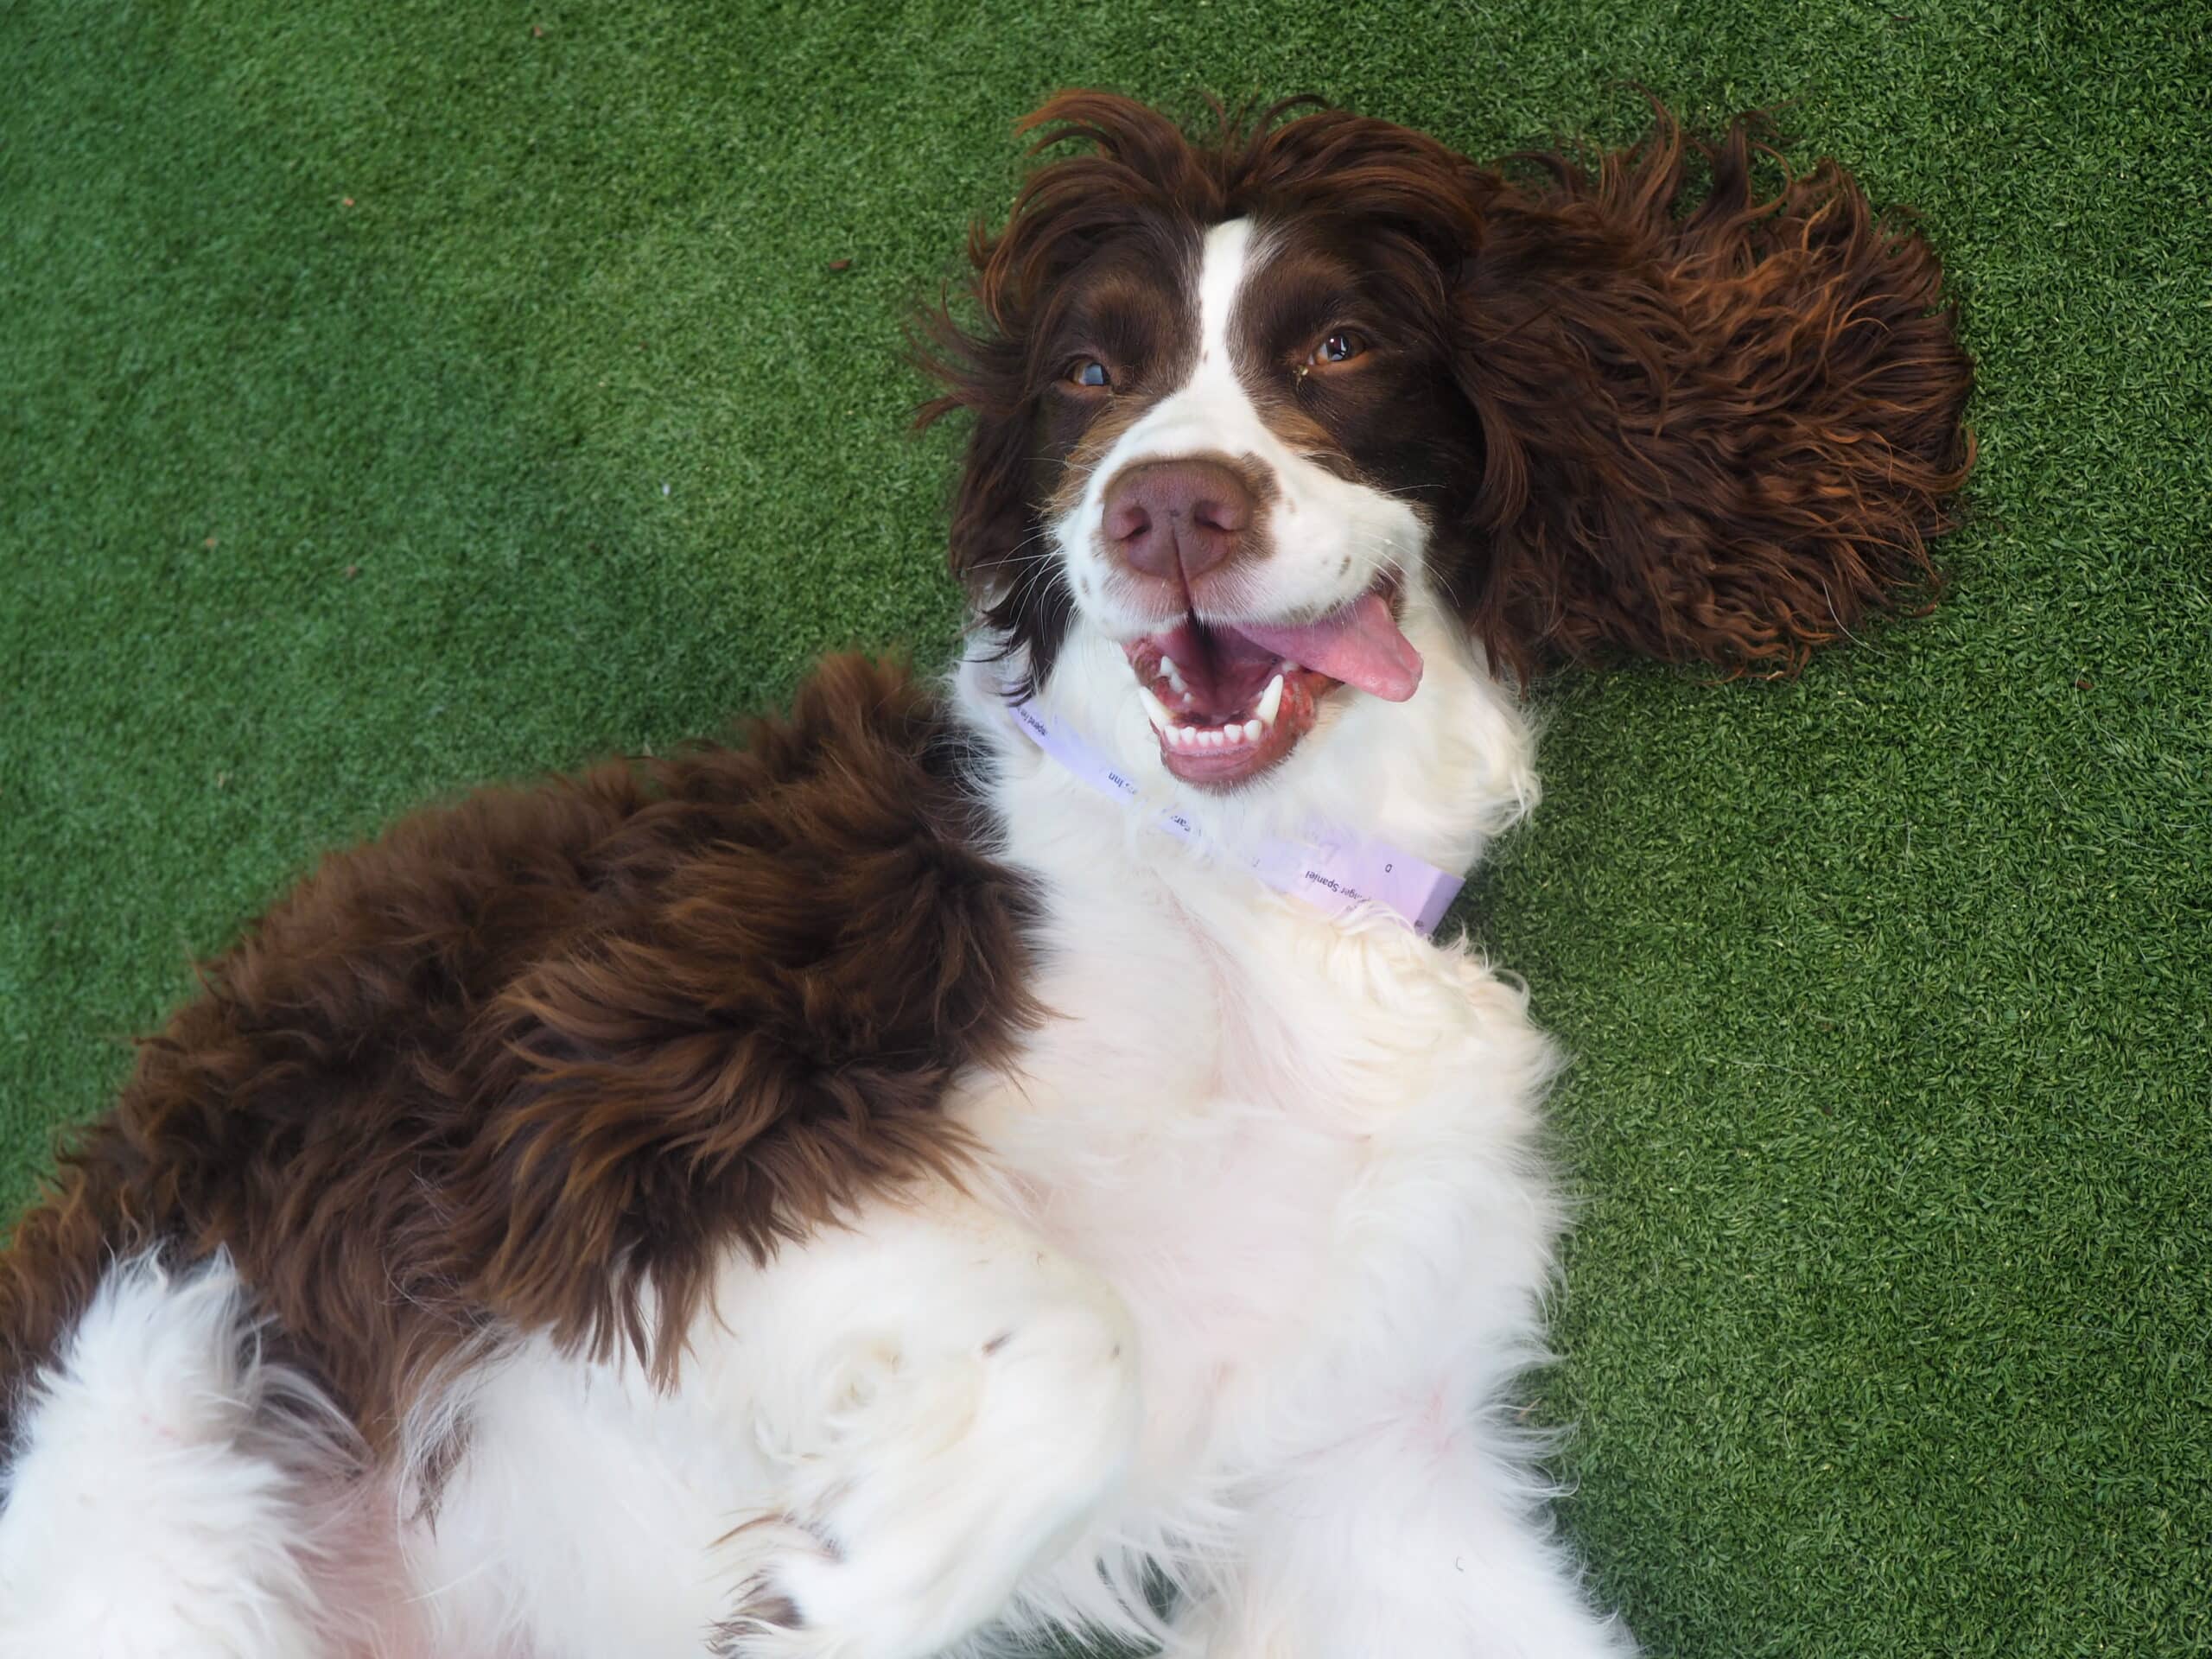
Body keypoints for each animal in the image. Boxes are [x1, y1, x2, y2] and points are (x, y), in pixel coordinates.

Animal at [0, 93, 1973, 1659]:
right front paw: (865, 1581)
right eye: (1090, 377)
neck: (1244, 883)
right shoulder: (585, 1102)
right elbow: (1071, 1325)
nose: (1164, 509)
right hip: (150, 1374)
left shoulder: (1371, 1469)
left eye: (1338, 347)